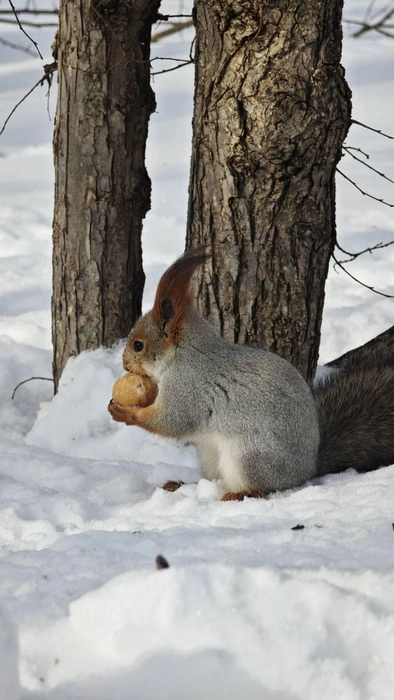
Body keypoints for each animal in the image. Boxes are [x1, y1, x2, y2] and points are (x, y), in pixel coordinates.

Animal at [107, 249, 394, 500]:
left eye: (138, 345)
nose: (124, 363)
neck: (185, 355)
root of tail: (308, 469)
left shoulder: (189, 387)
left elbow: (173, 421)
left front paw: (124, 412)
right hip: (211, 455)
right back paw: (182, 485)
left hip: (248, 456)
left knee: (261, 488)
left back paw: (238, 494)